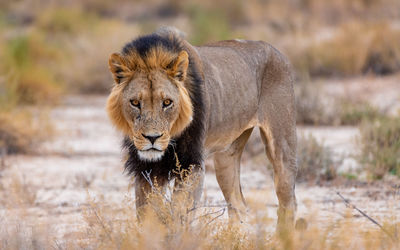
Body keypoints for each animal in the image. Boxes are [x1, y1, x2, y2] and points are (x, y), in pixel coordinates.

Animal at [106, 27, 296, 232]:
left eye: (167, 102)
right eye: (134, 103)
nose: (152, 137)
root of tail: (277, 52)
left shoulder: (192, 165)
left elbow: (180, 214)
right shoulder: (145, 169)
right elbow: (147, 216)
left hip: (282, 144)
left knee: (288, 201)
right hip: (226, 157)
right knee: (238, 204)